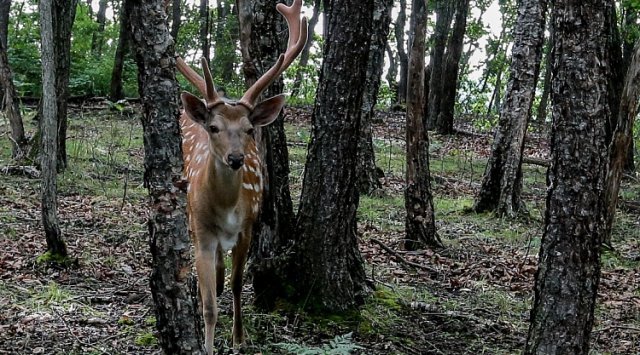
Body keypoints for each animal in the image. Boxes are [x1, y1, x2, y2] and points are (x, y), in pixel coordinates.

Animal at [175, 0, 304, 354]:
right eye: (214, 127)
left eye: (248, 129)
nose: (236, 158)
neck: (225, 211)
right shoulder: (202, 232)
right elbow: (208, 305)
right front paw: (207, 346)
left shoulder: (249, 226)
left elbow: (236, 284)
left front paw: (238, 339)